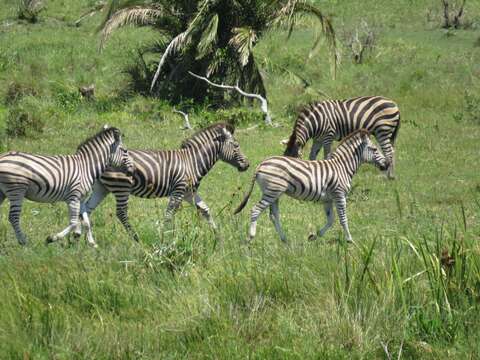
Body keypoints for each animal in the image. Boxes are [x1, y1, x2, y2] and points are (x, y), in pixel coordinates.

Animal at [0, 126, 134, 248]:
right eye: (125, 151)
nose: (132, 171)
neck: (86, 167)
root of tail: (2, 157)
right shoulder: (73, 197)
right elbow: (74, 223)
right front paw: (52, 238)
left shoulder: (80, 199)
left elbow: (86, 221)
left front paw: (92, 243)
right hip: (16, 190)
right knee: (13, 217)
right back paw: (23, 242)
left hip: (3, 192)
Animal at [80, 121, 249, 242]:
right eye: (236, 146)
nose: (247, 165)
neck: (192, 161)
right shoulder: (178, 190)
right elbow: (168, 215)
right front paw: (165, 238)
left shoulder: (189, 193)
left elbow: (205, 210)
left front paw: (218, 236)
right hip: (121, 187)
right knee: (121, 213)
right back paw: (136, 239)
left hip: (102, 188)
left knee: (86, 210)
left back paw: (83, 240)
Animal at [234, 129, 388, 245]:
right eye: (375, 149)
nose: (386, 164)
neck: (341, 167)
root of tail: (261, 164)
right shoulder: (339, 194)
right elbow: (343, 218)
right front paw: (350, 240)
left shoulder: (328, 200)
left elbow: (331, 220)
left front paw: (314, 235)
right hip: (272, 191)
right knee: (255, 210)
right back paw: (250, 237)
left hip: (274, 193)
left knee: (274, 215)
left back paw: (284, 239)